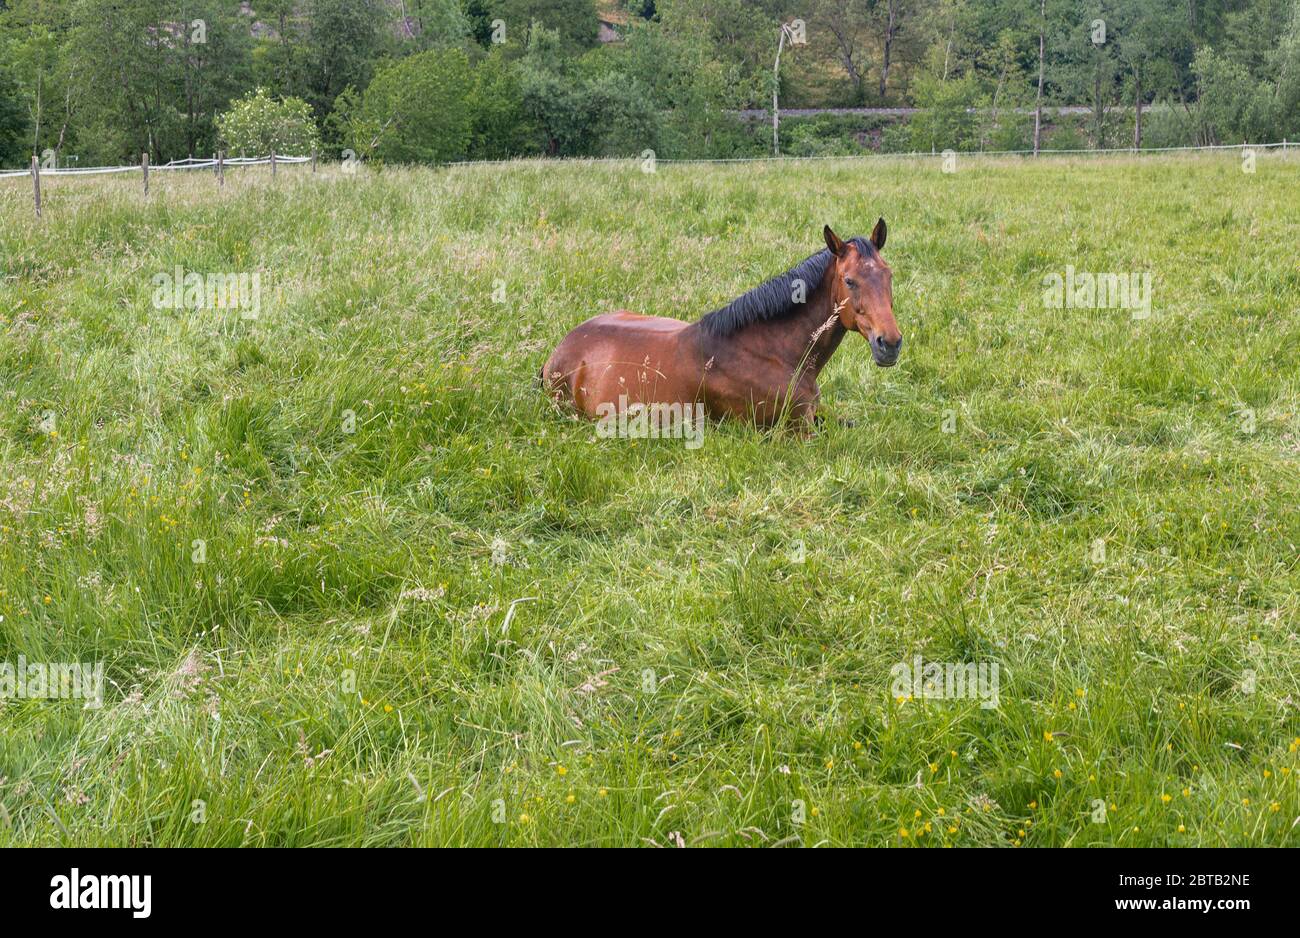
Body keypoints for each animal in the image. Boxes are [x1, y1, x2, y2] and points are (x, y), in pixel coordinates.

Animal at [543, 219, 899, 431]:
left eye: (889, 274)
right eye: (849, 281)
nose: (890, 344)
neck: (773, 353)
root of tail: (559, 352)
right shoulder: (795, 432)